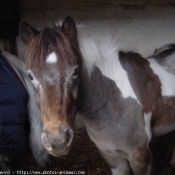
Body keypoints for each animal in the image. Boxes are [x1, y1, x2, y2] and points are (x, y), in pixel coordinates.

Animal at [20, 16, 175, 174]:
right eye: (30, 76)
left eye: (75, 71)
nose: (57, 141)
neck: (112, 101)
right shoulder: (111, 155)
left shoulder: (140, 156)